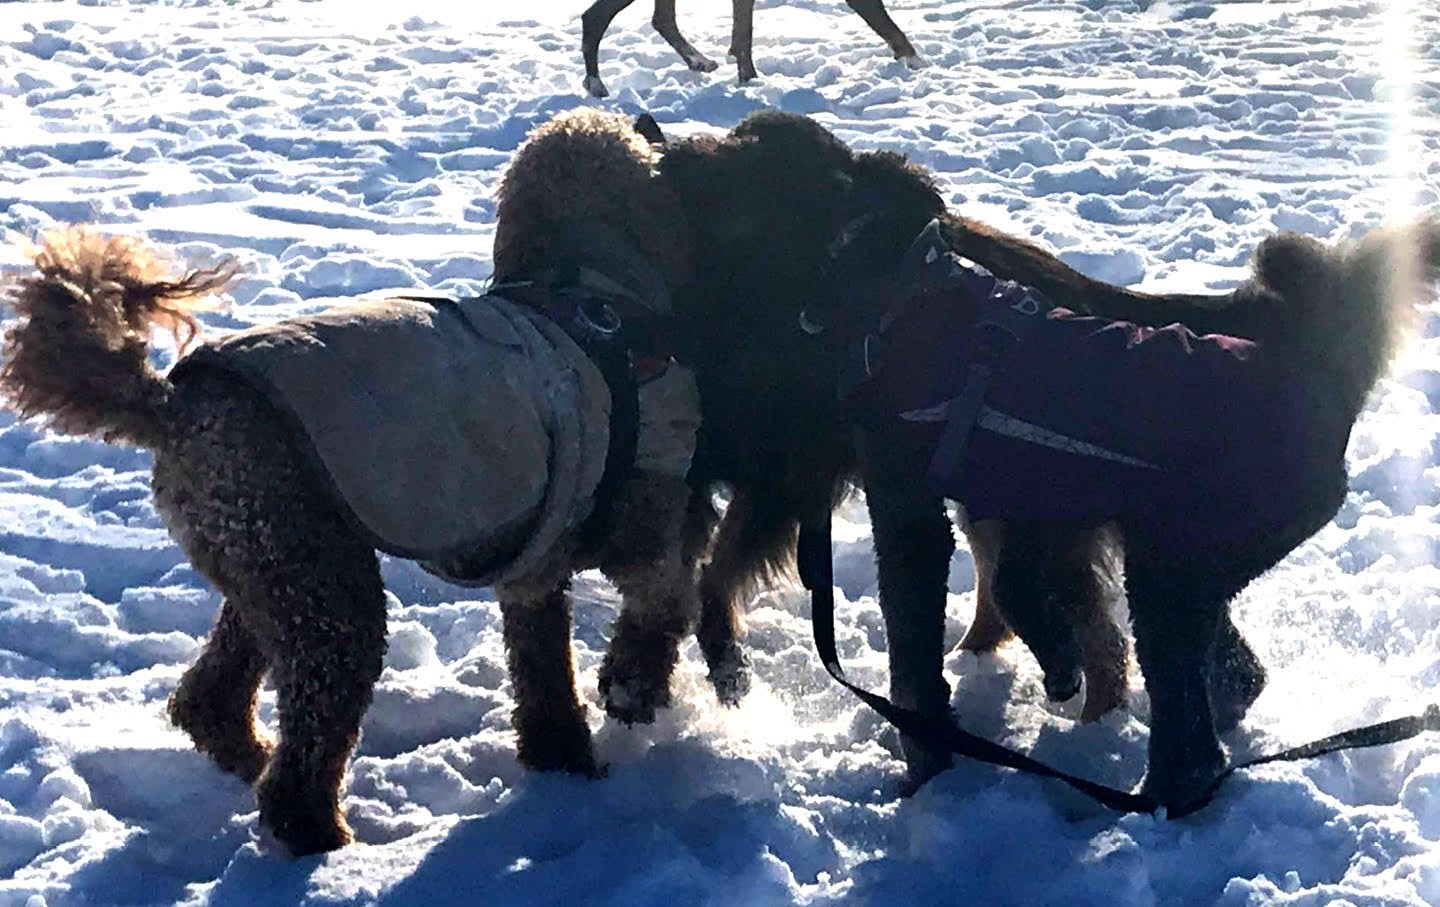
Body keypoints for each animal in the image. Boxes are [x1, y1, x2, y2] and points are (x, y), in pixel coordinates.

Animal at [0, 108, 708, 858]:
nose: (652, 124)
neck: (585, 291)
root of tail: (175, 409)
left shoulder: (534, 565)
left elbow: (544, 672)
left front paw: (563, 761)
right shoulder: (640, 517)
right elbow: (661, 605)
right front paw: (630, 692)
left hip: (273, 565)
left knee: (211, 696)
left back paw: (251, 756)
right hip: (325, 585)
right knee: (302, 753)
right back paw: (323, 839)